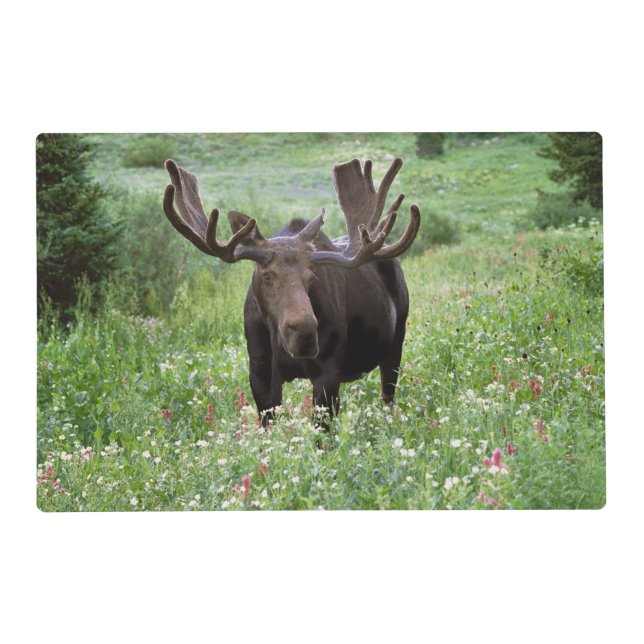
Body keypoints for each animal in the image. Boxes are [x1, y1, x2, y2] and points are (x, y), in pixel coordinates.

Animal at [163, 156, 420, 427]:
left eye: (312, 277)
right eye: (267, 275)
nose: (304, 332)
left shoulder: (328, 374)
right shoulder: (260, 371)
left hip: (396, 342)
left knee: (388, 397)